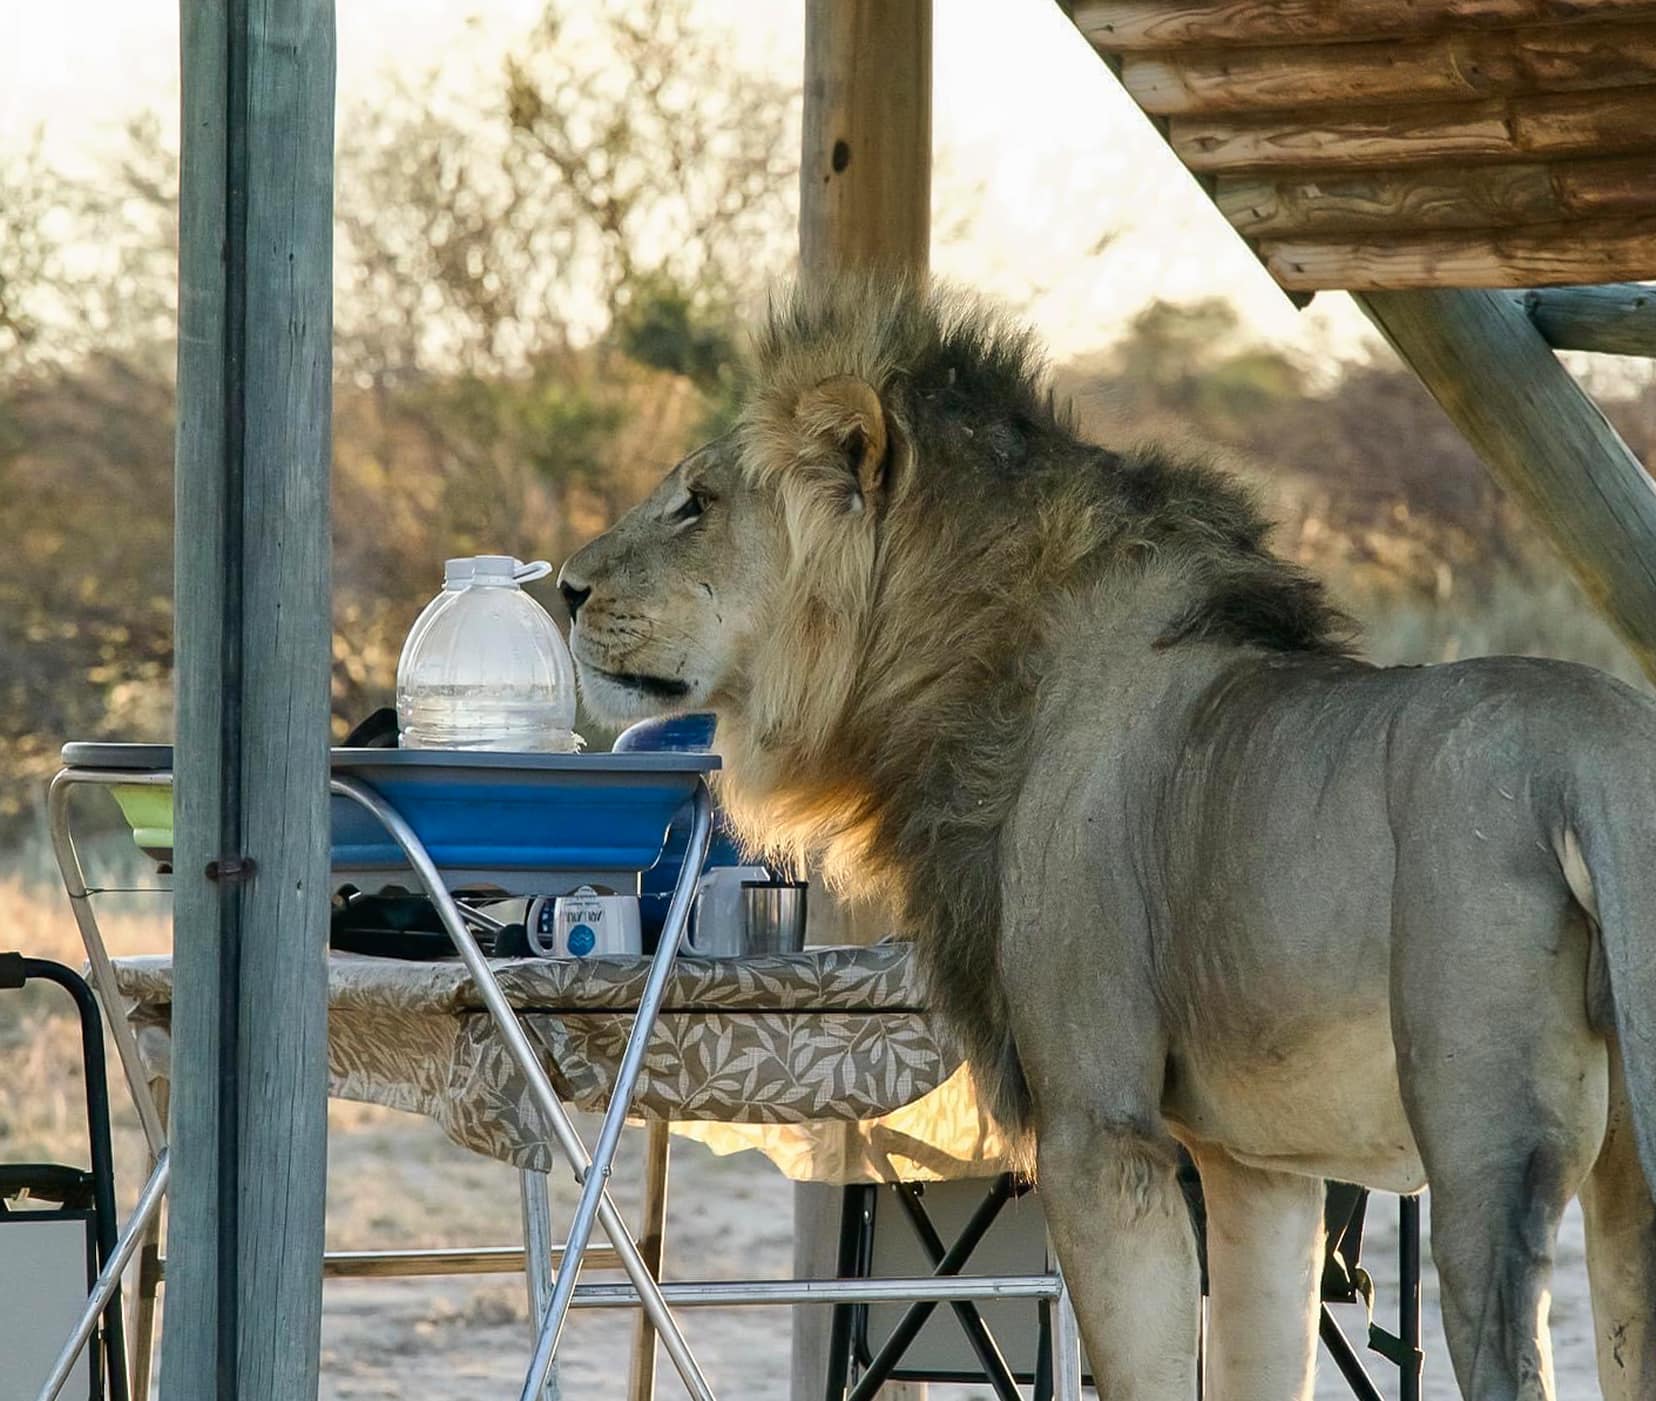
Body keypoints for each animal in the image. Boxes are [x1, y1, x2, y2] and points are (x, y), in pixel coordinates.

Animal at [559, 276, 1656, 1401]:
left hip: (1482, 1148)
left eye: (699, 503)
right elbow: (1260, 1363)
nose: (565, 586)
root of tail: (1600, 749)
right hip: (1627, 1187)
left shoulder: (1100, 1126)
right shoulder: (1256, 1165)